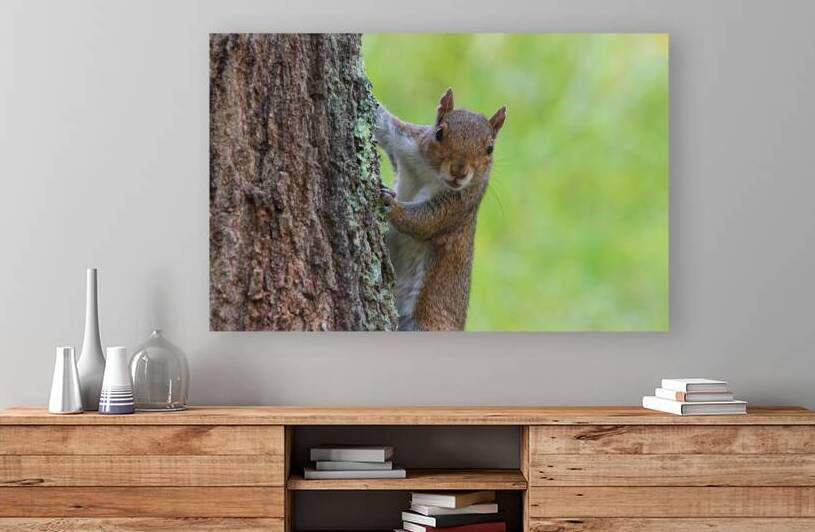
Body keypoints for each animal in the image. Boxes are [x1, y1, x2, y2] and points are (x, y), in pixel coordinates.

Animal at [374, 88, 506, 331]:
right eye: (439, 133)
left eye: (490, 148)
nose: (459, 171)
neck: (432, 174)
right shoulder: (407, 143)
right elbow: (384, 124)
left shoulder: (460, 205)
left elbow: (425, 222)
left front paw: (391, 205)